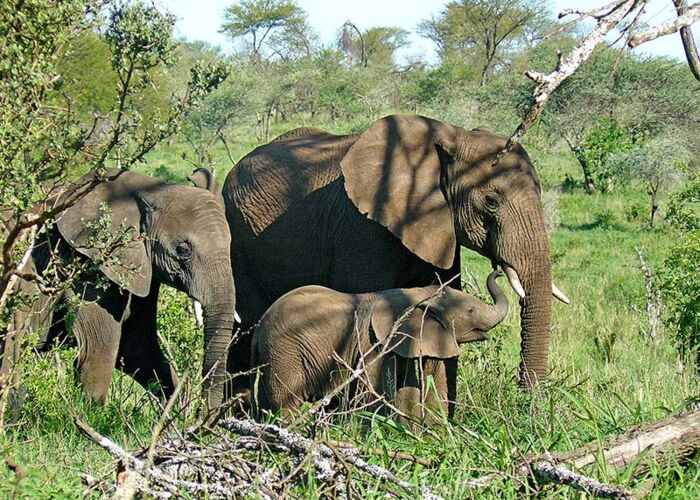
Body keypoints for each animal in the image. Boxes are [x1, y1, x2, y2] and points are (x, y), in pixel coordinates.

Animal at [0, 168, 237, 410]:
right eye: (183, 250)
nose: (202, 413)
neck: (148, 191)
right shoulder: (84, 262)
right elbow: (98, 346)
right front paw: (92, 416)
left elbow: (137, 347)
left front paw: (176, 413)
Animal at [252, 272, 508, 424]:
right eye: (471, 311)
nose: (499, 272)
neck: (421, 292)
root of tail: (258, 328)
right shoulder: (373, 342)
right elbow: (375, 391)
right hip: (286, 353)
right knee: (287, 402)